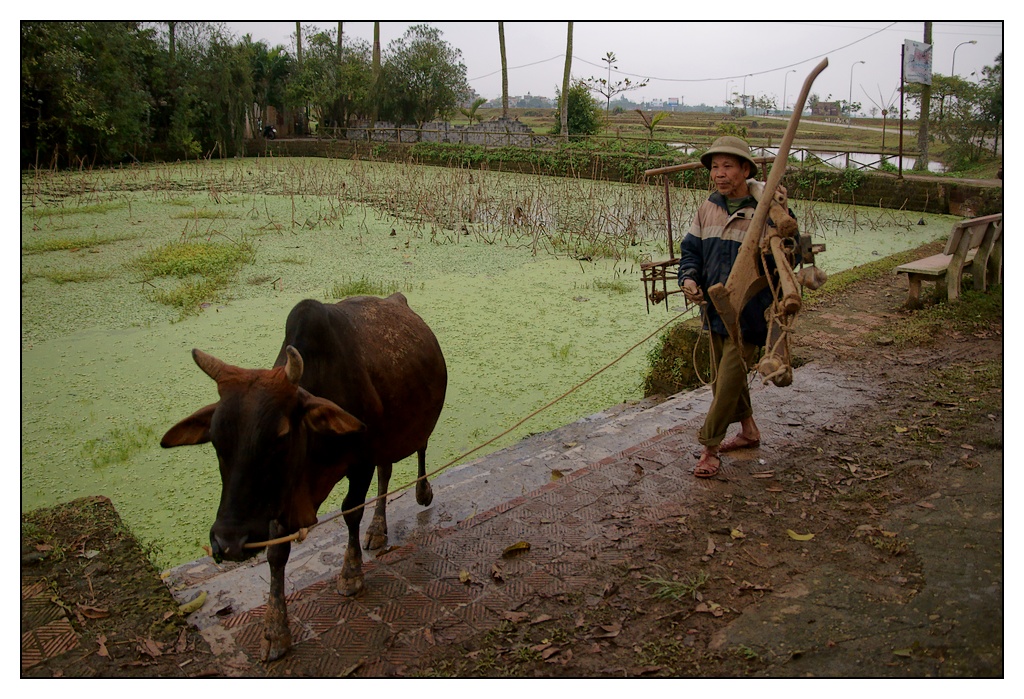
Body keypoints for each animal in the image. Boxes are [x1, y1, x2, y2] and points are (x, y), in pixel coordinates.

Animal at [161, 294, 446, 663]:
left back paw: (422, 492)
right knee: (387, 473)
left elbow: (351, 511)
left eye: (280, 436)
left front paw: (351, 574)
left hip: (410, 427)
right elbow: (276, 551)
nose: (228, 541)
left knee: (418, 451)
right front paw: (275, 630)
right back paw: (377, 529)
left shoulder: (361, 461)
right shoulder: (280, 496)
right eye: (216, 440)